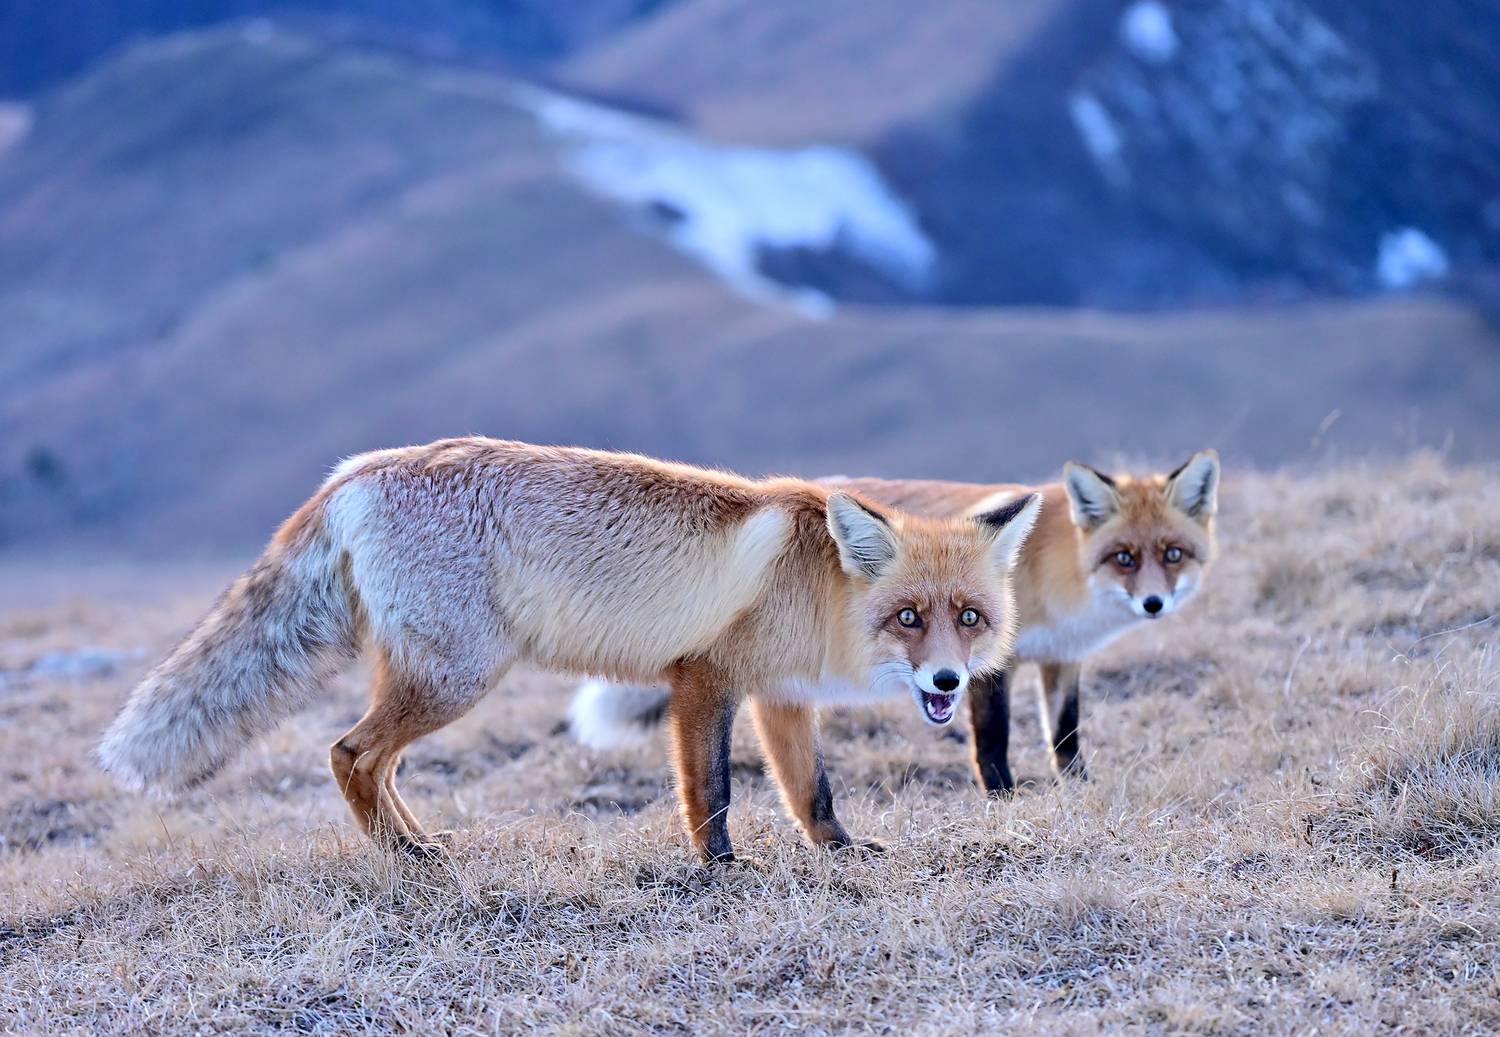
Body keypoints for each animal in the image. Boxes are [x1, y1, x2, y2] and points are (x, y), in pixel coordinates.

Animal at [98, 437, 1040, 862]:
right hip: (459, 678)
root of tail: (353, 471)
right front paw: (721, 871)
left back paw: (422, 844)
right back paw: (403, 859)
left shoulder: (781, 696)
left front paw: (840, 853)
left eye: (969, 617)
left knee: (376, 761)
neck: (814, 583)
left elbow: (812, 790)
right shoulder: (703, 679)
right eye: (909, 616)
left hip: (430, 677)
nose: (949, 678)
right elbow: (713, 793)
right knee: (349, 753)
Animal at [568, 450, 1219, 795]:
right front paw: (1004, 799)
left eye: (1173, 555)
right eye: (1125, 558)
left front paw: (1079, 787)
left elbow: (1066, 734)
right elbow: (994, 739)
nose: (1154, 605)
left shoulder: (1062, 658)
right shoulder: (992, 664)